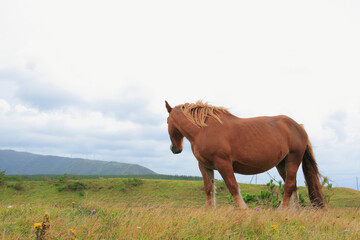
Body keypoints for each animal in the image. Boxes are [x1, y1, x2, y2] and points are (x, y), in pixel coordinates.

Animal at [166, 100, 326, 209]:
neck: (204, 130)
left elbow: (232, 186)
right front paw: (210, 211)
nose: (175, 149)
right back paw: (293, 212)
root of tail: (299, 126)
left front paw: (244, 210)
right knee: (292, 186)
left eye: (167, 121)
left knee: (289, 185)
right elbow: (209, 189)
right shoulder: (205, 166)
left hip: (293, 159)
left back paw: (282, 211)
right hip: (282, 163)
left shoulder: (223, 164)